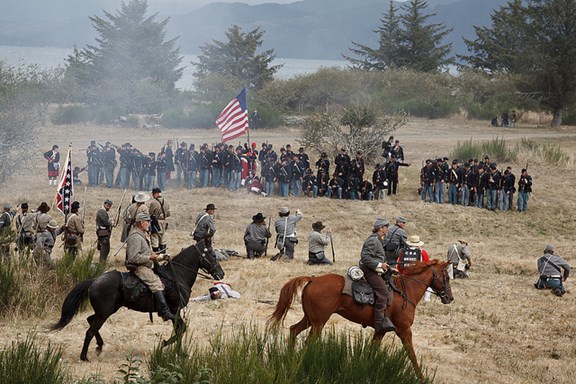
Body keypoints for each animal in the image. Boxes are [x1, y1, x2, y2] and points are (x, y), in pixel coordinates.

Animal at [50, 244, 224, 362]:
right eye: (213, 255)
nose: (221, 273)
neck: (177, 276)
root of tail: (94, 281)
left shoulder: (176, 312)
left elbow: (180, 330)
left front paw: (179, 352)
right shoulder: (174, 310)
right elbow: (181, 329)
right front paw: (166, 344)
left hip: (106, 311)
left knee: (90, 321)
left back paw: (99, 346)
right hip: (104, 313)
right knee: (90, 331)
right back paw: (84, 356)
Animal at [270, 260, 454, 380]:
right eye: (447, 276)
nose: (450, 298)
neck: (405, 291)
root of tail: (313, 279)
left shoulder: (380, 331)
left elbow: (372, 351)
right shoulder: (404, 330)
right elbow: (411, 354)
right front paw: (422, 377)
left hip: (309, 319)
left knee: (293, 330)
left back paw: (290, 358)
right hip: (318, 323)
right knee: (309, 341)